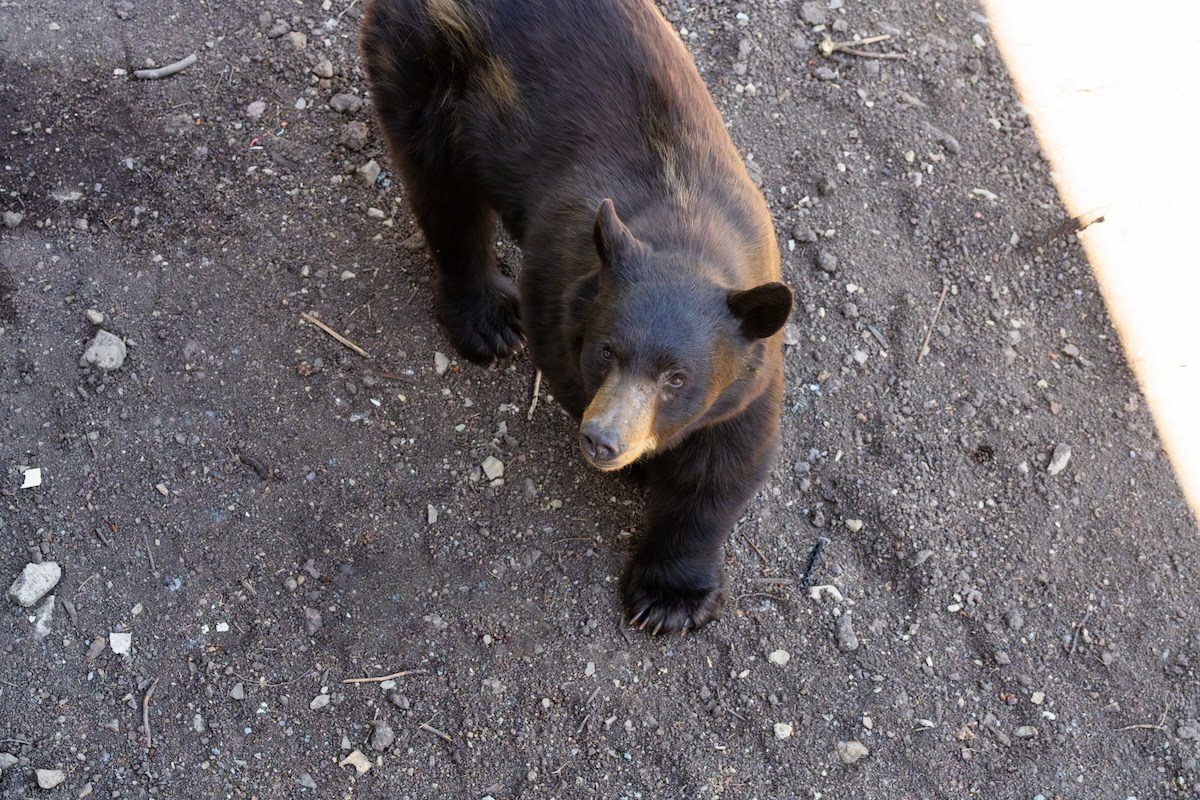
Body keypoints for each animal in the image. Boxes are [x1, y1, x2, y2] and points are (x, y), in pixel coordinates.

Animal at [361, 0, 793, 634]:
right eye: (606, 351)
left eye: (677, 378)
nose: (602, 442)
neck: (686, 226)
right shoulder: (557, 280)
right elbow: (563, 366)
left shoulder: (752, 369)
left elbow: (725, 465)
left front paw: (669, 600)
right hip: (426, 71)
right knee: (443, 193)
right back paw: (488, 320)